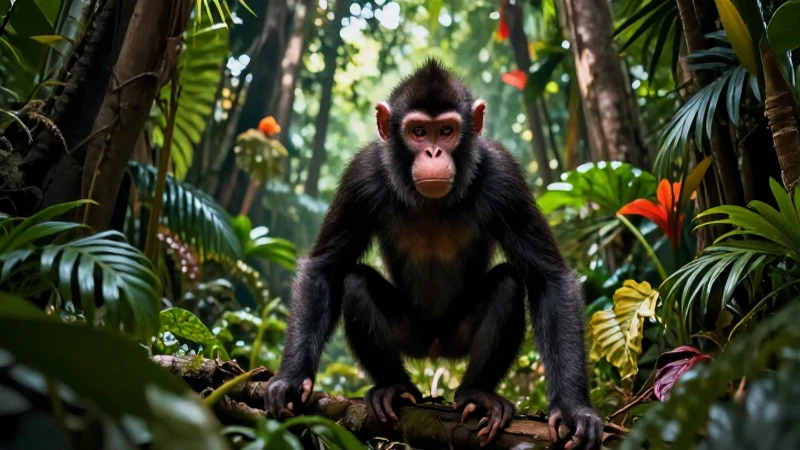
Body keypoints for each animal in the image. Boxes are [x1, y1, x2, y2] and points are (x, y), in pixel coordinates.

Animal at [265, 59, 603, 449]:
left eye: (446, 131)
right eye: (418, 132)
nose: (433, 153)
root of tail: (435, 347)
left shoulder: (504, 176)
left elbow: (548, 277)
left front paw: (574, 409)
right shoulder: (361, 177)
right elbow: (326, 267)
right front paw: (290, 378)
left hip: (456, 336)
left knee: (508, 283)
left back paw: (476, 394)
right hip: (411, 335)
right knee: (355, 282)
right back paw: (394, 387)